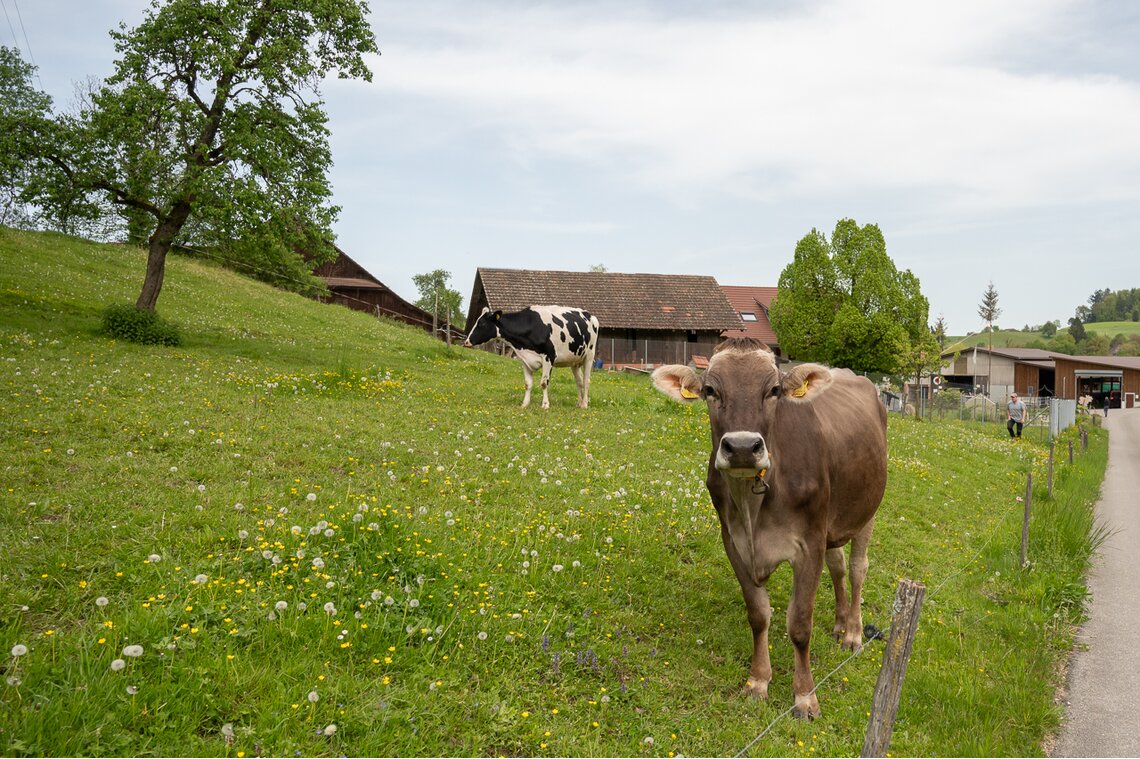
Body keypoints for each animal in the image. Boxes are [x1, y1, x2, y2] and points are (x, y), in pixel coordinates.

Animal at [467, 305, 601, 407]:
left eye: (482, 324)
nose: (467, 341)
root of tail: (590, 315)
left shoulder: (549, 357)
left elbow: (544, 383)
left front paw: (545, 404)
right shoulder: (525, 359)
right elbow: (527, 384)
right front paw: (525, 404)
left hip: (589, 356)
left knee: (586, 381)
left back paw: (584, 404)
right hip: (575, 361)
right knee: (579, 381)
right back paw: (579, 403)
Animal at [656, 335, 884, 715]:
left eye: (774, 389)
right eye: (710, 390)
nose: (742, 447)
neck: (754, 507)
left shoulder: (809, 543)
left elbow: (800, 623)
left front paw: (805, 696)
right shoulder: (734, 542)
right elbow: (759, 615)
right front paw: (758, 681)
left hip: (866, 511)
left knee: (856, 568)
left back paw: (852, 632)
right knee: (838, 566)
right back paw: (839, 624)